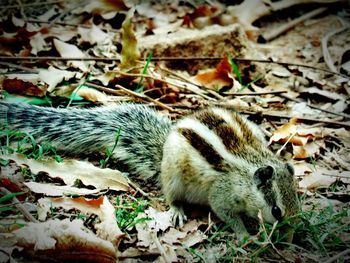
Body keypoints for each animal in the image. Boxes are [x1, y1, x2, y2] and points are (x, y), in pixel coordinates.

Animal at [1, 102, 300, 239]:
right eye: (277, 211)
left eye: (298, 201)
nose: (293, 231)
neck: (248, 172)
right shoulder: (222, 194)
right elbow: (226, 213)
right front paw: (245, 235)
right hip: (174, 176)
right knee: (171, 195)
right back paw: (177, 210)